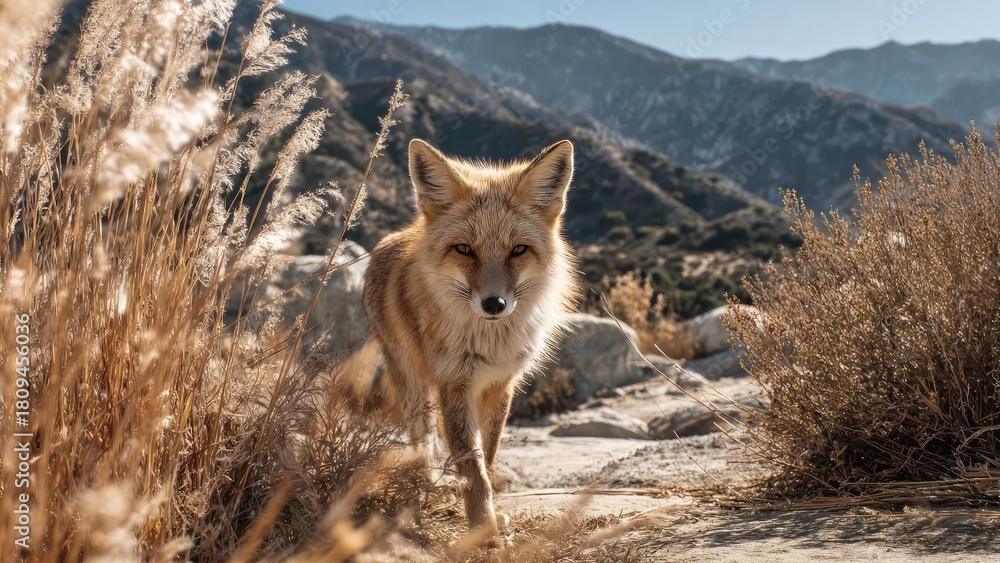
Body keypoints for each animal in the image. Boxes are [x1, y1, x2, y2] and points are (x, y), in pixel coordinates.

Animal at [342, 138, 579, 536]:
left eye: (518, 250)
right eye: (465, 249)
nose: (495, 303)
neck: (489, 343)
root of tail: (399, 233)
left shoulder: (500, 383)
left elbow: (488, 456)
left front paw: (489, 516)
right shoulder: (454, 383)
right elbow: (472, 465)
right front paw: (484, 531)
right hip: (413, 385)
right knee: (421, 441)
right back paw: (425, 488)